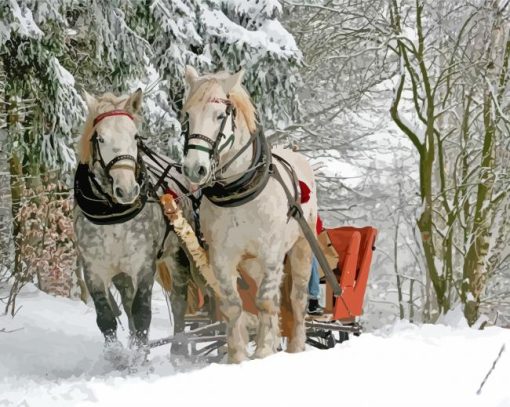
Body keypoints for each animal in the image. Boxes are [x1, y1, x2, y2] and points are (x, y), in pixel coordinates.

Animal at [179, 67, 314, 364]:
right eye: (187, 115)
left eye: (220, 116)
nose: (194, 169)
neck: (238, 190)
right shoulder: (221, 256)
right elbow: (233, 305)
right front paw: (238, 356)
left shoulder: (272, 253)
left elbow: (265, 301)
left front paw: (263, 351)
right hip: (251, 262)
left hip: (301, 248)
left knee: (296, 299)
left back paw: (295, 347)